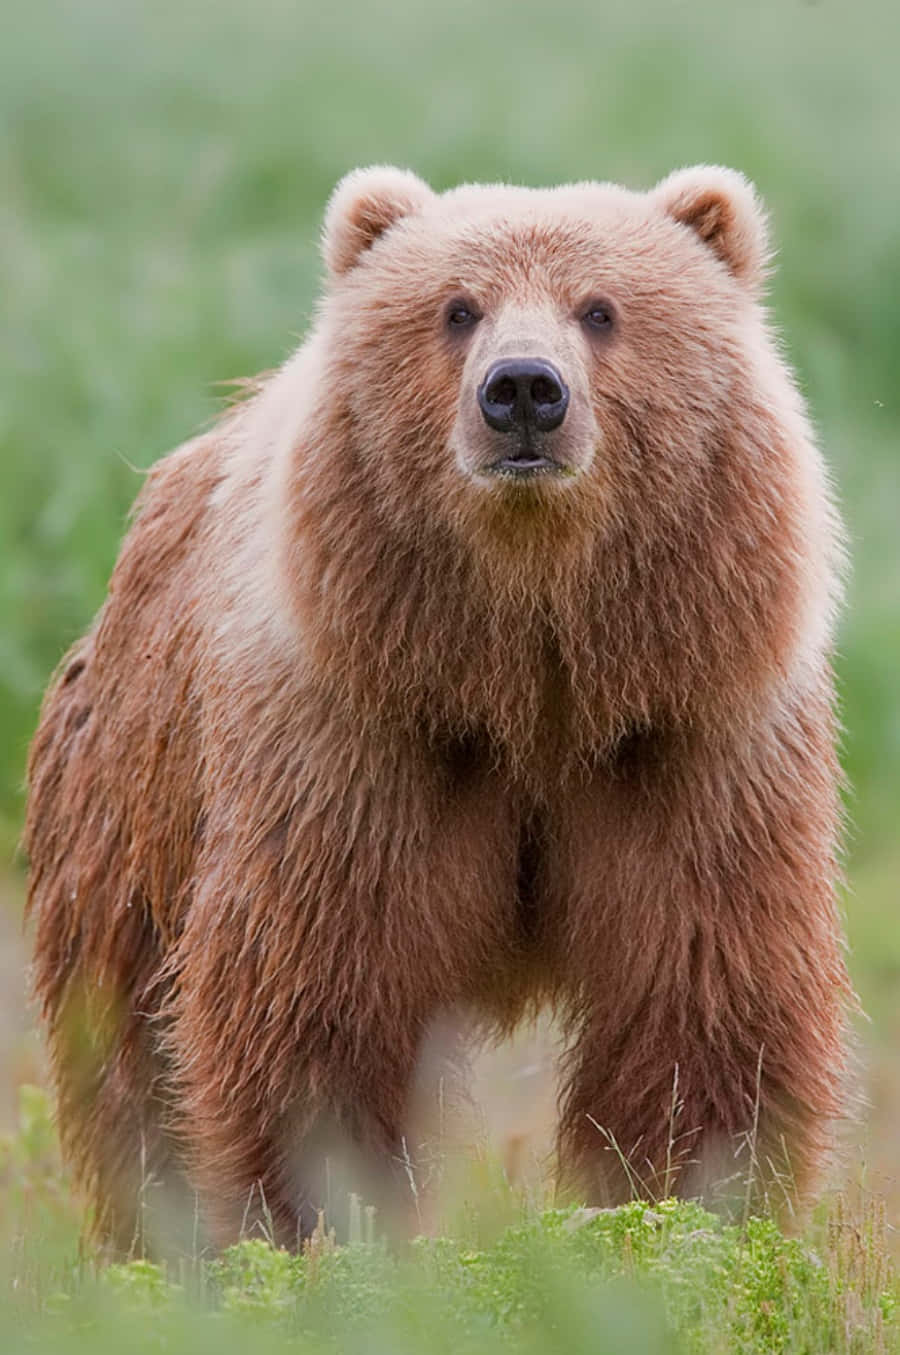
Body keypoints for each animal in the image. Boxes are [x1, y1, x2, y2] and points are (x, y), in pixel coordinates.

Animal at [25, 164, 851, 1255]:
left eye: (600, 309)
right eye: (458, 308)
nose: (524, 390)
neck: (525, 674)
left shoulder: (689, 738)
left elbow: (702, 1000)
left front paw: (683, 1217)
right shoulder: (358, 745)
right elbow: (321, 1007)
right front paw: (326, 1228)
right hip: (129, 808)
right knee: (129, 1066)